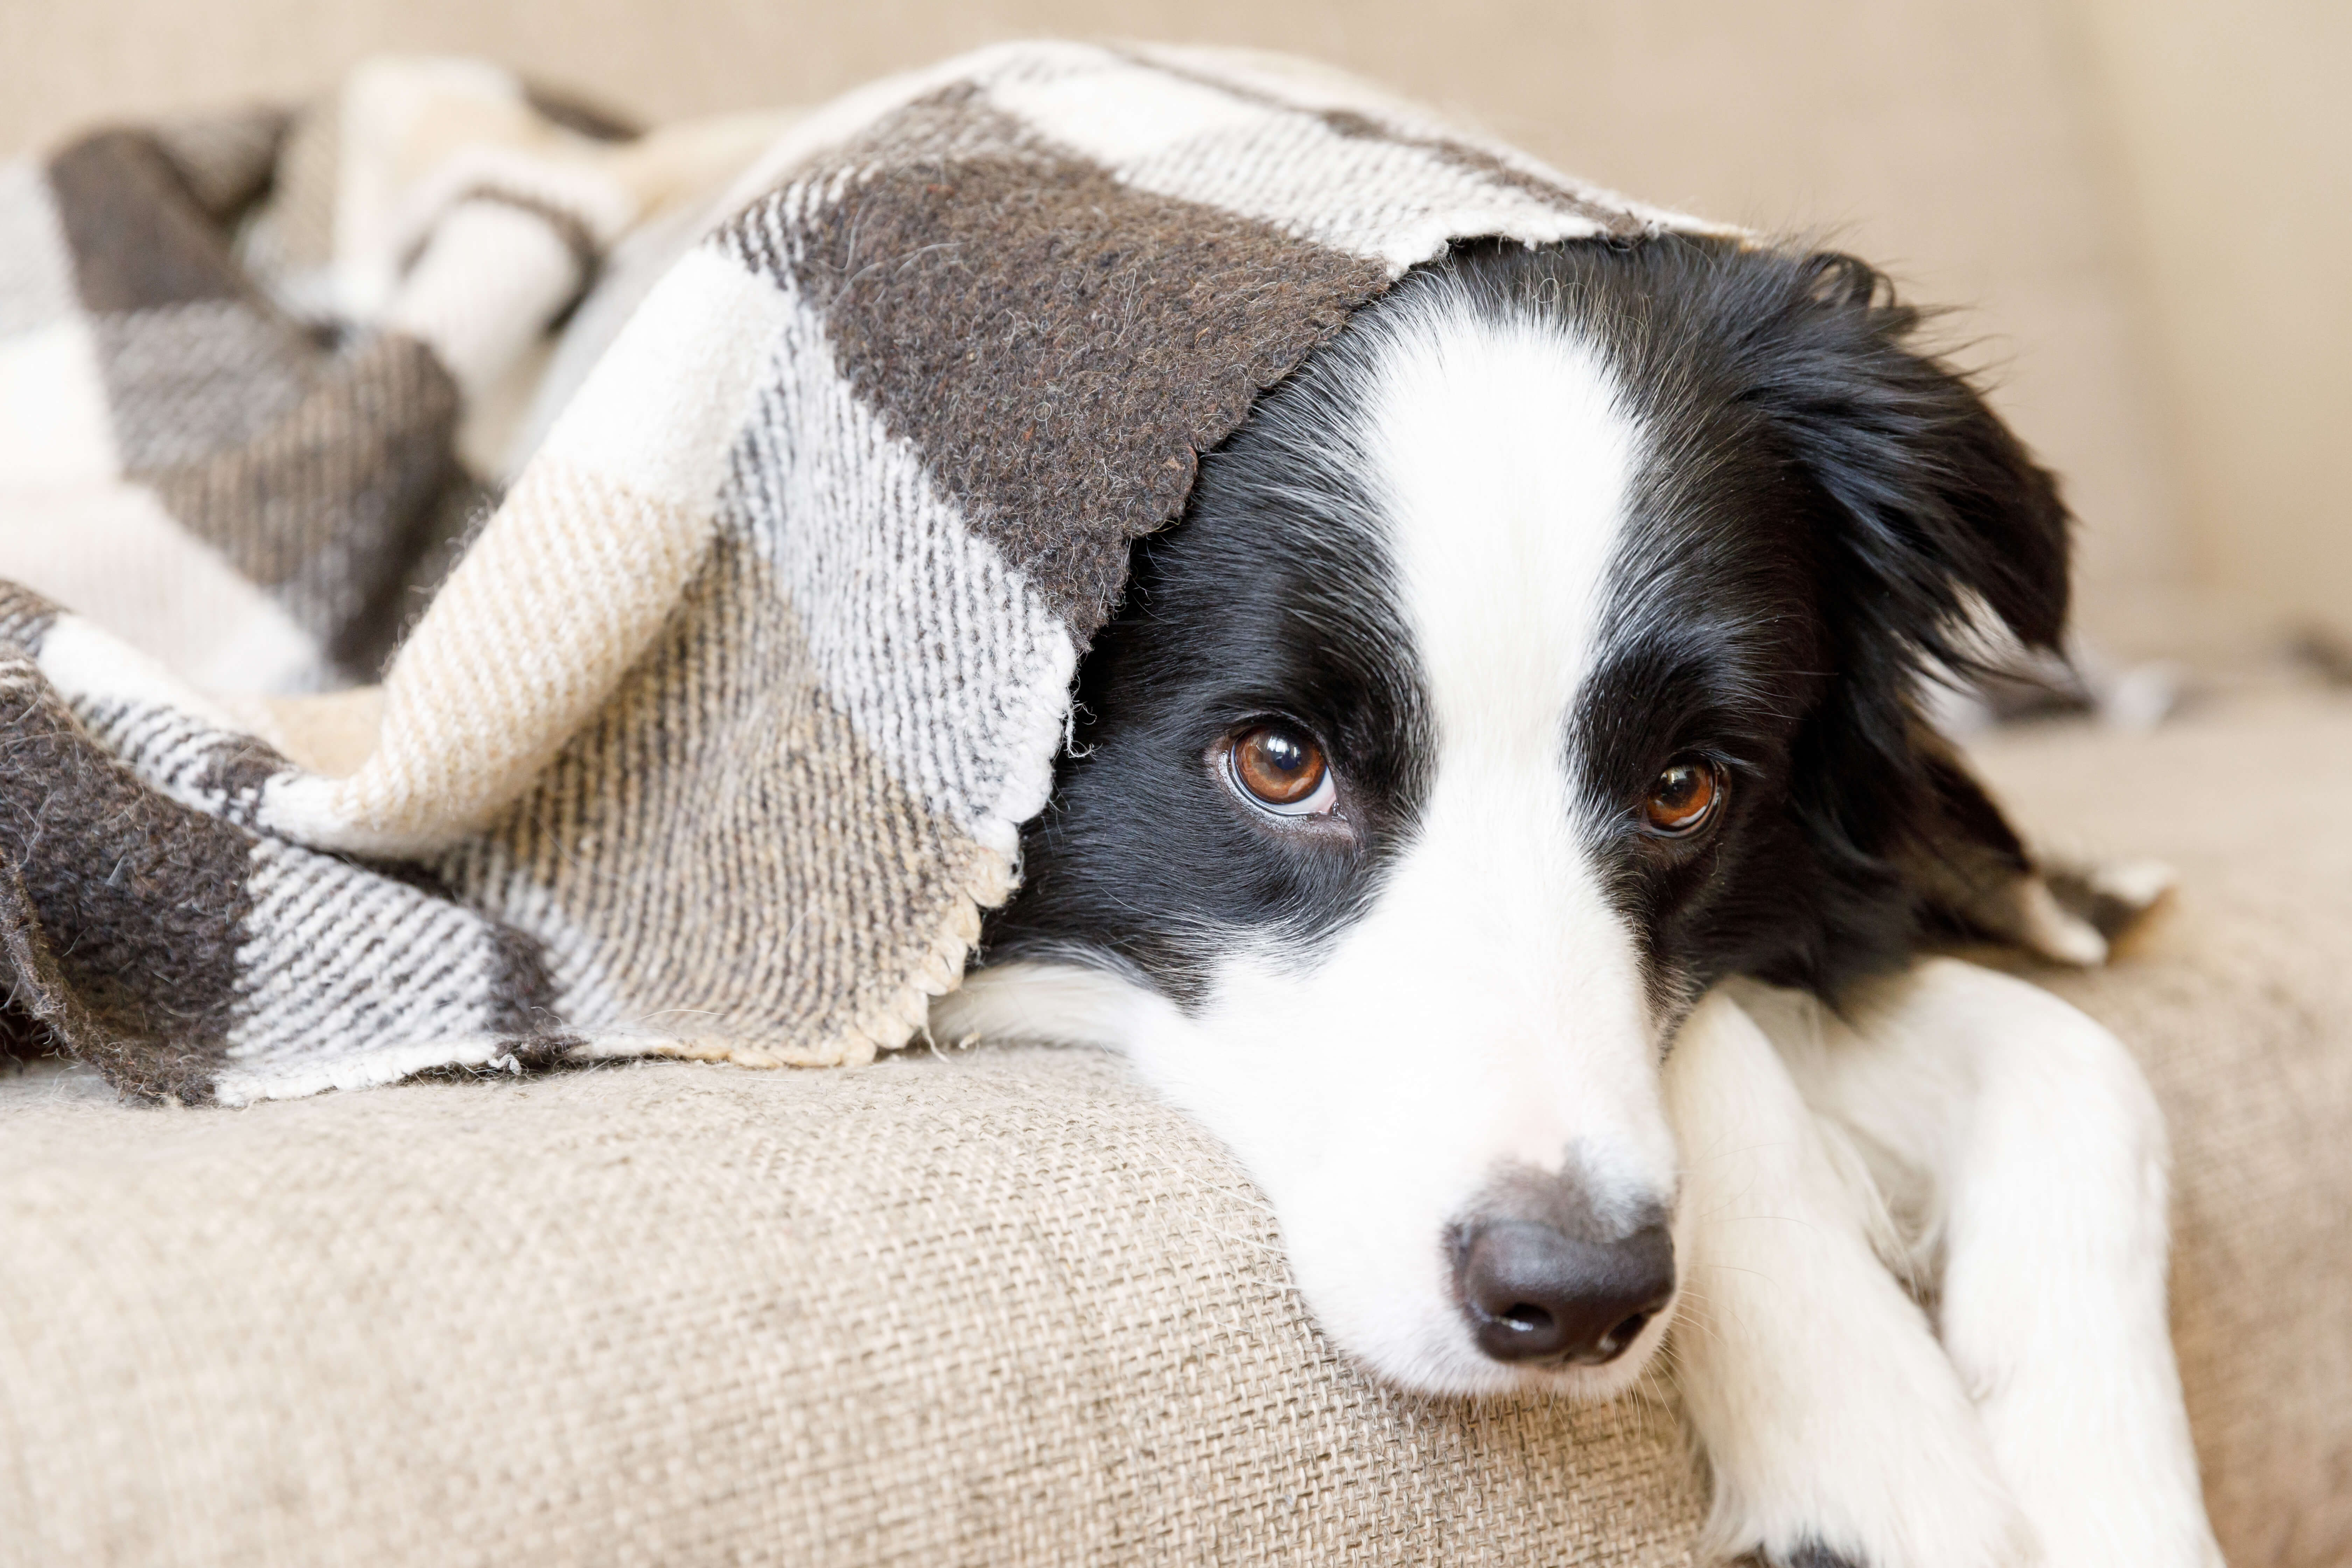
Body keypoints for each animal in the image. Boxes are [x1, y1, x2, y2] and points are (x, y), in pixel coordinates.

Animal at [926, 232, 2211, 1568]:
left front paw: (2108, 1493)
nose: (1576, 1293)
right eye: (1278, 761)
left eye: (1684, 789)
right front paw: (1867, 1438)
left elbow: (2086, 1067)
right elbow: (1733, 1049)